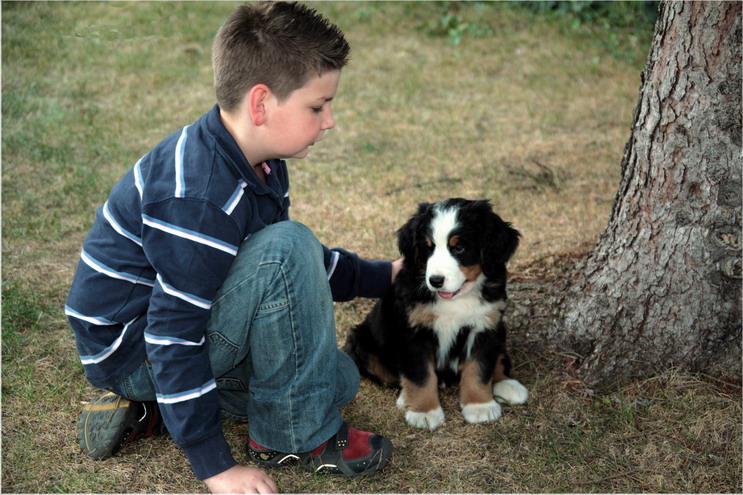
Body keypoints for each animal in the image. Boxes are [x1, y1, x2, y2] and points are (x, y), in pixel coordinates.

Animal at [344, 198, 528, 430]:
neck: (458, 297)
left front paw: (480, 406)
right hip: (362, 341)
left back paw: (506, 383)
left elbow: (480, 368)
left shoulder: (486, 325)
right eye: (427, 248)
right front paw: (424, 412)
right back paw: (406, 398)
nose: (435, 281)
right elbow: (420, 375)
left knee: (500, 356)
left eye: (459, 247)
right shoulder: (413, 332)